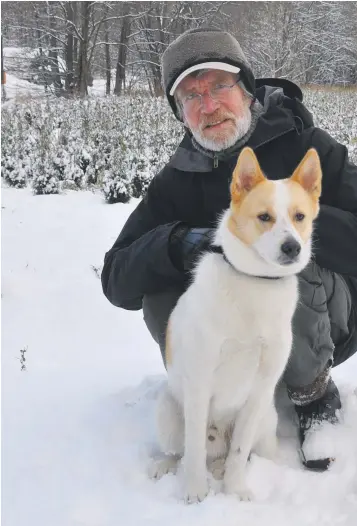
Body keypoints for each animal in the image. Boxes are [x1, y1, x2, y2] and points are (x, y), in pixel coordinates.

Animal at [149, 146, 322, 506]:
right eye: (264, 217)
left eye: (299, 216)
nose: (292, 247)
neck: (257, 282)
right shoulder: (199, 382)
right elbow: (194, 449)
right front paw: (195, 491)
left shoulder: (260, 389)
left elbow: (240, 453)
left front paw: (235, 489)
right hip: (169, 412)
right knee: (183, 450)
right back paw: (168, 466)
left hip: (265, 421)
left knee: (241, 453)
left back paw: (221, 470)